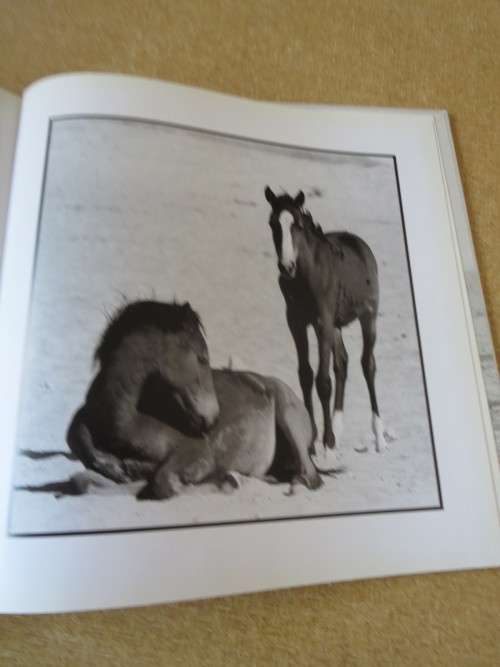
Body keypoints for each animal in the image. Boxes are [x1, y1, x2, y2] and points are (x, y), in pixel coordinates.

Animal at [66, 299, 322, 499]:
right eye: (202, 358)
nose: (212, 417)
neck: (128, 421)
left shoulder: (198, 453)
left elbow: (164, 483)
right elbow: (84, 480)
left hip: (289, 419)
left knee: (309, 477)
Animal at [264, 187, 389, 472]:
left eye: (297, 225)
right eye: (273, 224)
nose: (286, 267)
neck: (306, 274)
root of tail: (358, 242)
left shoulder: (322, 321)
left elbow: (323, 381)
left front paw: (328, 446)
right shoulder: (296, 321)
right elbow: (306, 375)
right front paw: (311, 442)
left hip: (367, 317)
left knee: (368, 364)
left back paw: (378, 435)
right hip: (337, 326)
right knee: (342, 363)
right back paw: (339, 431)